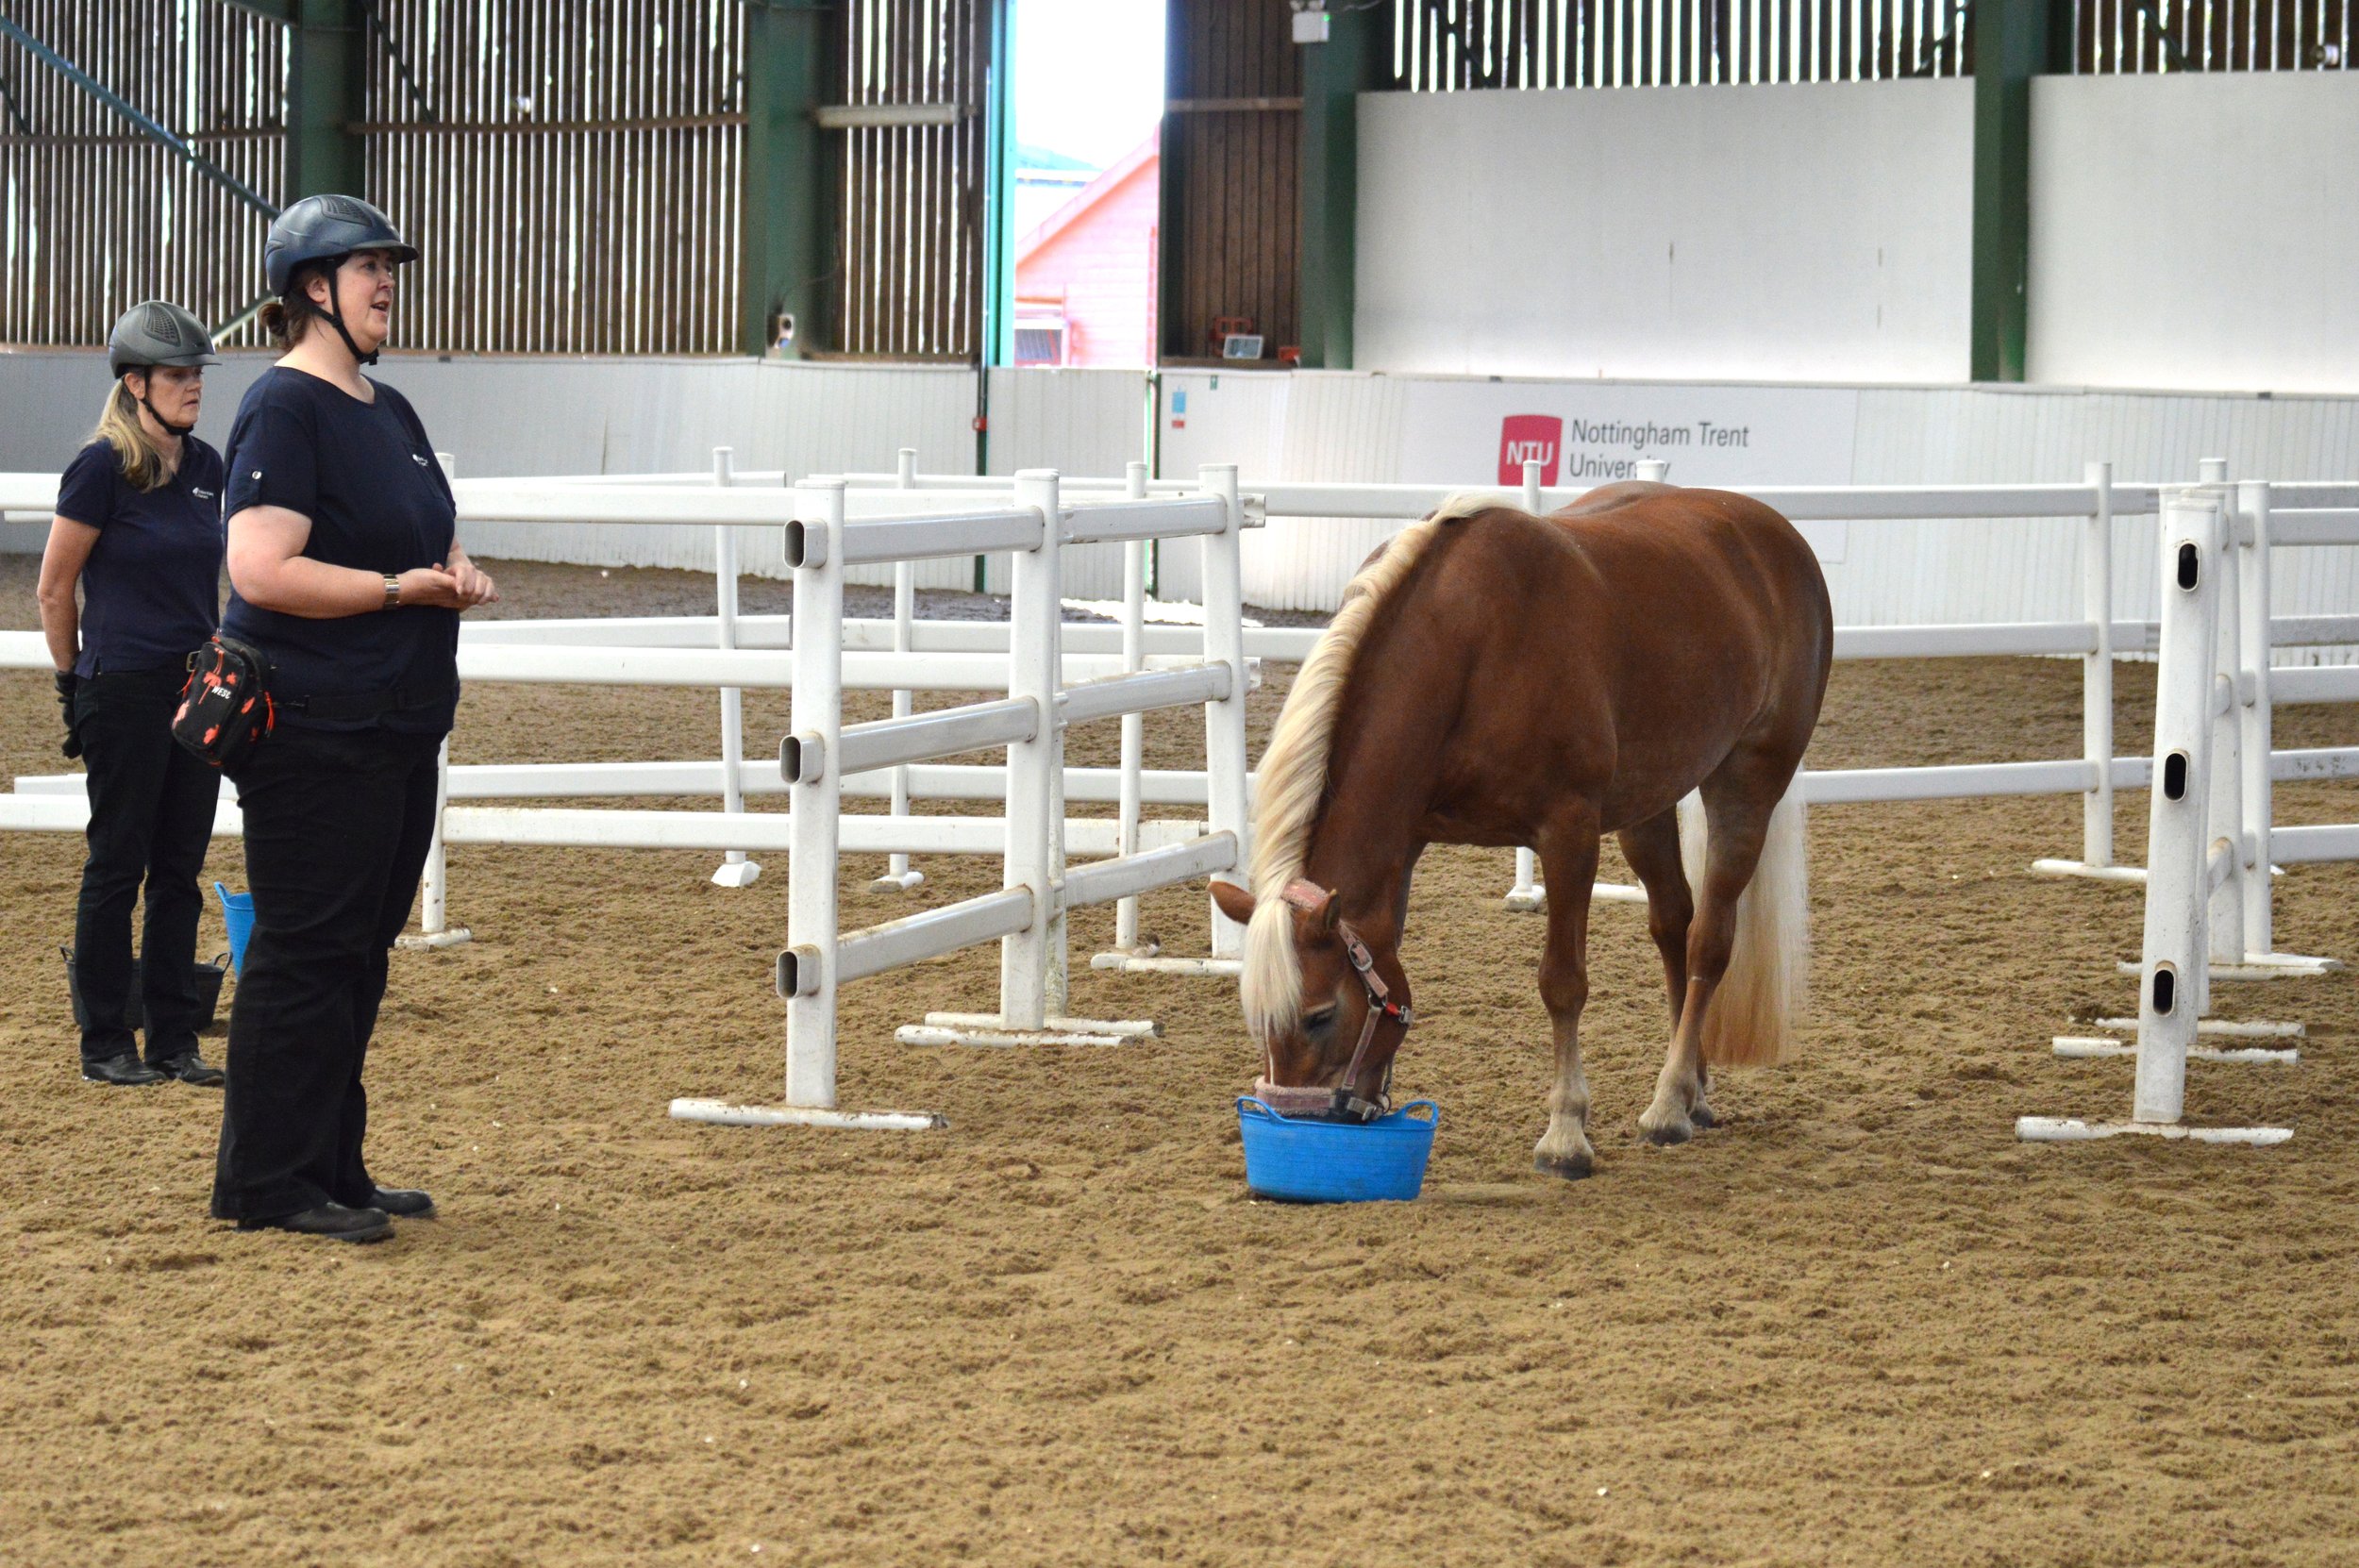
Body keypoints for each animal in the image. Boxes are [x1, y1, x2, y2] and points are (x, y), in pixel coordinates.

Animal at [1208, 482, 1832, 1176]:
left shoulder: (1569, 834)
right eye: (1259, 1020)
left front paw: (1565, 1132)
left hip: (1746, 783)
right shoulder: (1408, 841)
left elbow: (1562, 983)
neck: (1471, 646)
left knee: (1709, 941)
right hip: (1648, 804)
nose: (1300, 1125)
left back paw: (1670, 1103)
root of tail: (1773, 532)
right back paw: (1693, 1089)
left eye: (1319, 1016)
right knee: (1674, 922)